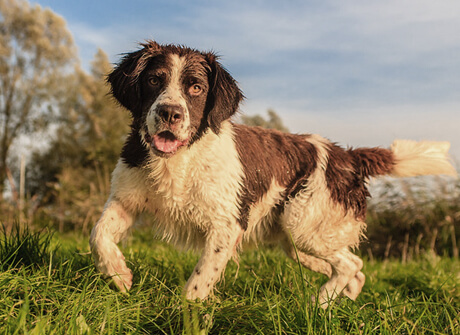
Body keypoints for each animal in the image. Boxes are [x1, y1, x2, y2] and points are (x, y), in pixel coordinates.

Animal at [90, 40, 456, 308]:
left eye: (195, 88)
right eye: (154, 79)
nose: (169, 113)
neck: (179, 159)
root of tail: (347, 156)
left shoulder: (226, 226)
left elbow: (198, 282)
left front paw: (188, 312)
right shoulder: (124, 200)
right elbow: (98, 236)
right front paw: (119, 274)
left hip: (304, 227)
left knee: (350, 265)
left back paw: (319, 304)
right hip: (297, 242)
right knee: (353, 267)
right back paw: (341, 304)